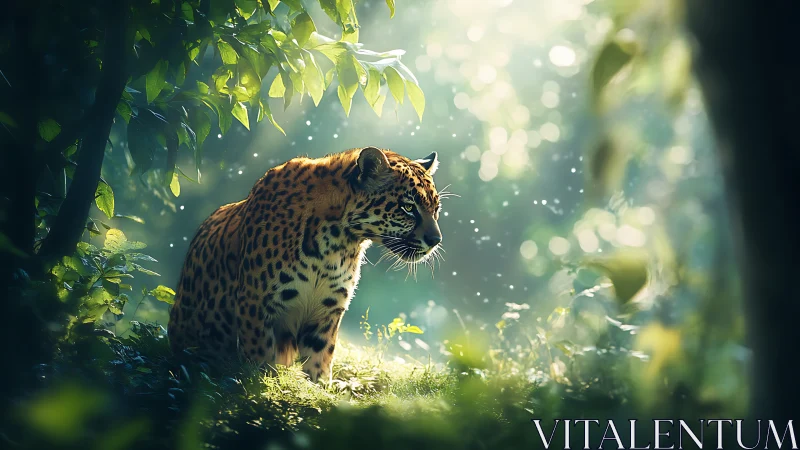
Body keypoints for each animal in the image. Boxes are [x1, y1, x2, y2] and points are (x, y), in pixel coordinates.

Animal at [167, 146, 443, 383]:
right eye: (408, 207)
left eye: (436, 209)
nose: (436, 240)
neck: (336, 245)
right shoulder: (255, 303)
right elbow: (259, 356)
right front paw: (259, 381)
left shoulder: (327, 310)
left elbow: (320, 358)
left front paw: (320, 386)